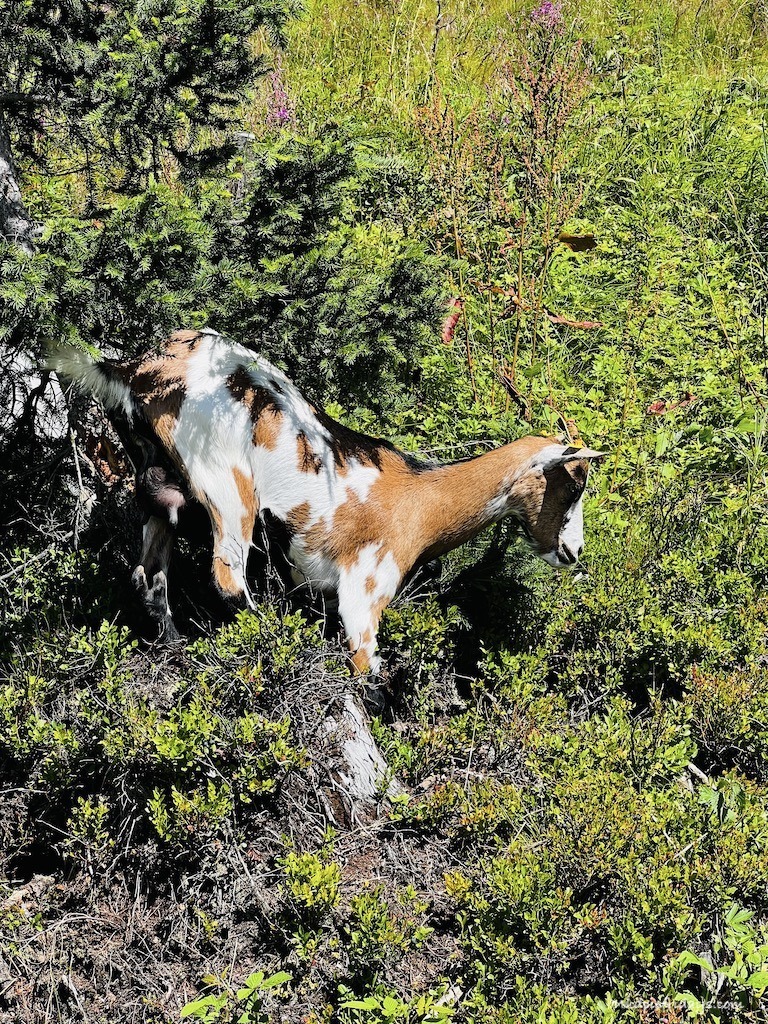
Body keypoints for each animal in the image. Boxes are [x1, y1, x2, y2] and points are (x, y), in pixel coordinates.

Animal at [51, 328, 603, 671]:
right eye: (573, 484)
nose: (573, 552)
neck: (419, 497)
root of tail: (138, 371)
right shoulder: (364, 597)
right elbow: (368, 674)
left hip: (161, 491)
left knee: (149, 574)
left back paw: (176, 647)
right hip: (228, 486)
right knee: (226, 575)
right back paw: (269, 639)